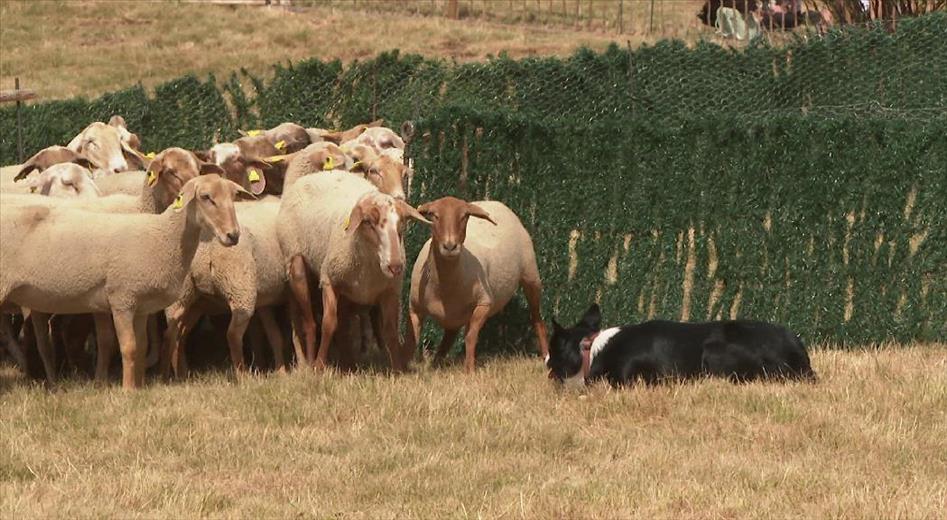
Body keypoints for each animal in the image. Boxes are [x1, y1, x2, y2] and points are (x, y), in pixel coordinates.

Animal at [0, 175, 256, 386]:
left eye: (233, 197)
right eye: (205, 197)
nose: (233, 235)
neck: (163, 237)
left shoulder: (141, 306)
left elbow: (141, 347)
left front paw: (139, 387)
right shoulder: (122, 298)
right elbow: (129, 347)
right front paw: (127, 390)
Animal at [276, 171, 428, 370]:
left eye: (401, 223)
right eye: (369, 222)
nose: (395, 266)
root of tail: (314, 174)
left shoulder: (390, 289)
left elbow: (389, 330)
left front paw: (397, 368)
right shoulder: (329, 280)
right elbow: (328, 324)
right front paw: (319, 366)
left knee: (343, 327)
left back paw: (347, 362)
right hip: (296, 263)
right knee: (310, 323)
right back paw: (310, 362)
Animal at [406, 197, 548, 372]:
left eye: (464, 216)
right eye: (433, 215)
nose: (450, 246)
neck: (443, 286)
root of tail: (495, 202)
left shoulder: (484, 304)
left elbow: (470, 337)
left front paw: (469, 370)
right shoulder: (415, 308)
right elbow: (412, 339)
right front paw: (403, 369)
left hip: (531, 275)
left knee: (537, 318)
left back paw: (546, 357)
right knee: (449, 336)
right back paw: (436, 363)